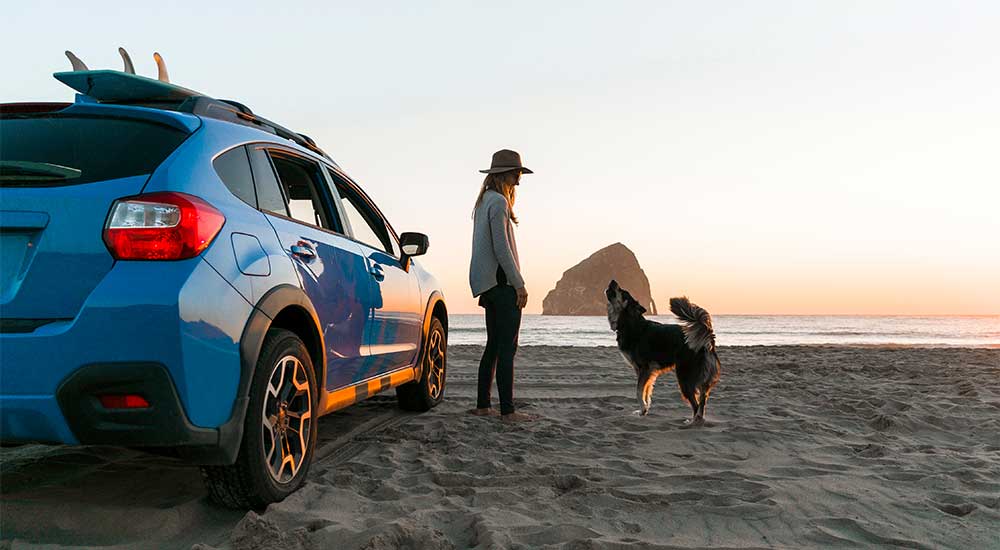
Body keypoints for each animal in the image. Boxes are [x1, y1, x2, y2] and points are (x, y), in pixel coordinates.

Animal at [600, 282, 720, 424]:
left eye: (623, 292)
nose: (613, 281)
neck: (629, 322)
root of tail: (707, 340)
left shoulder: (644, 368)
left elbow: (638, 391)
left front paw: (643, 409)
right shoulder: (645, 371)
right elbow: (646, 391)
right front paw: (644, 410)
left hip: (684, 376)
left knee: (696, 404)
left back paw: (692, 421)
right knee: (702, 399)